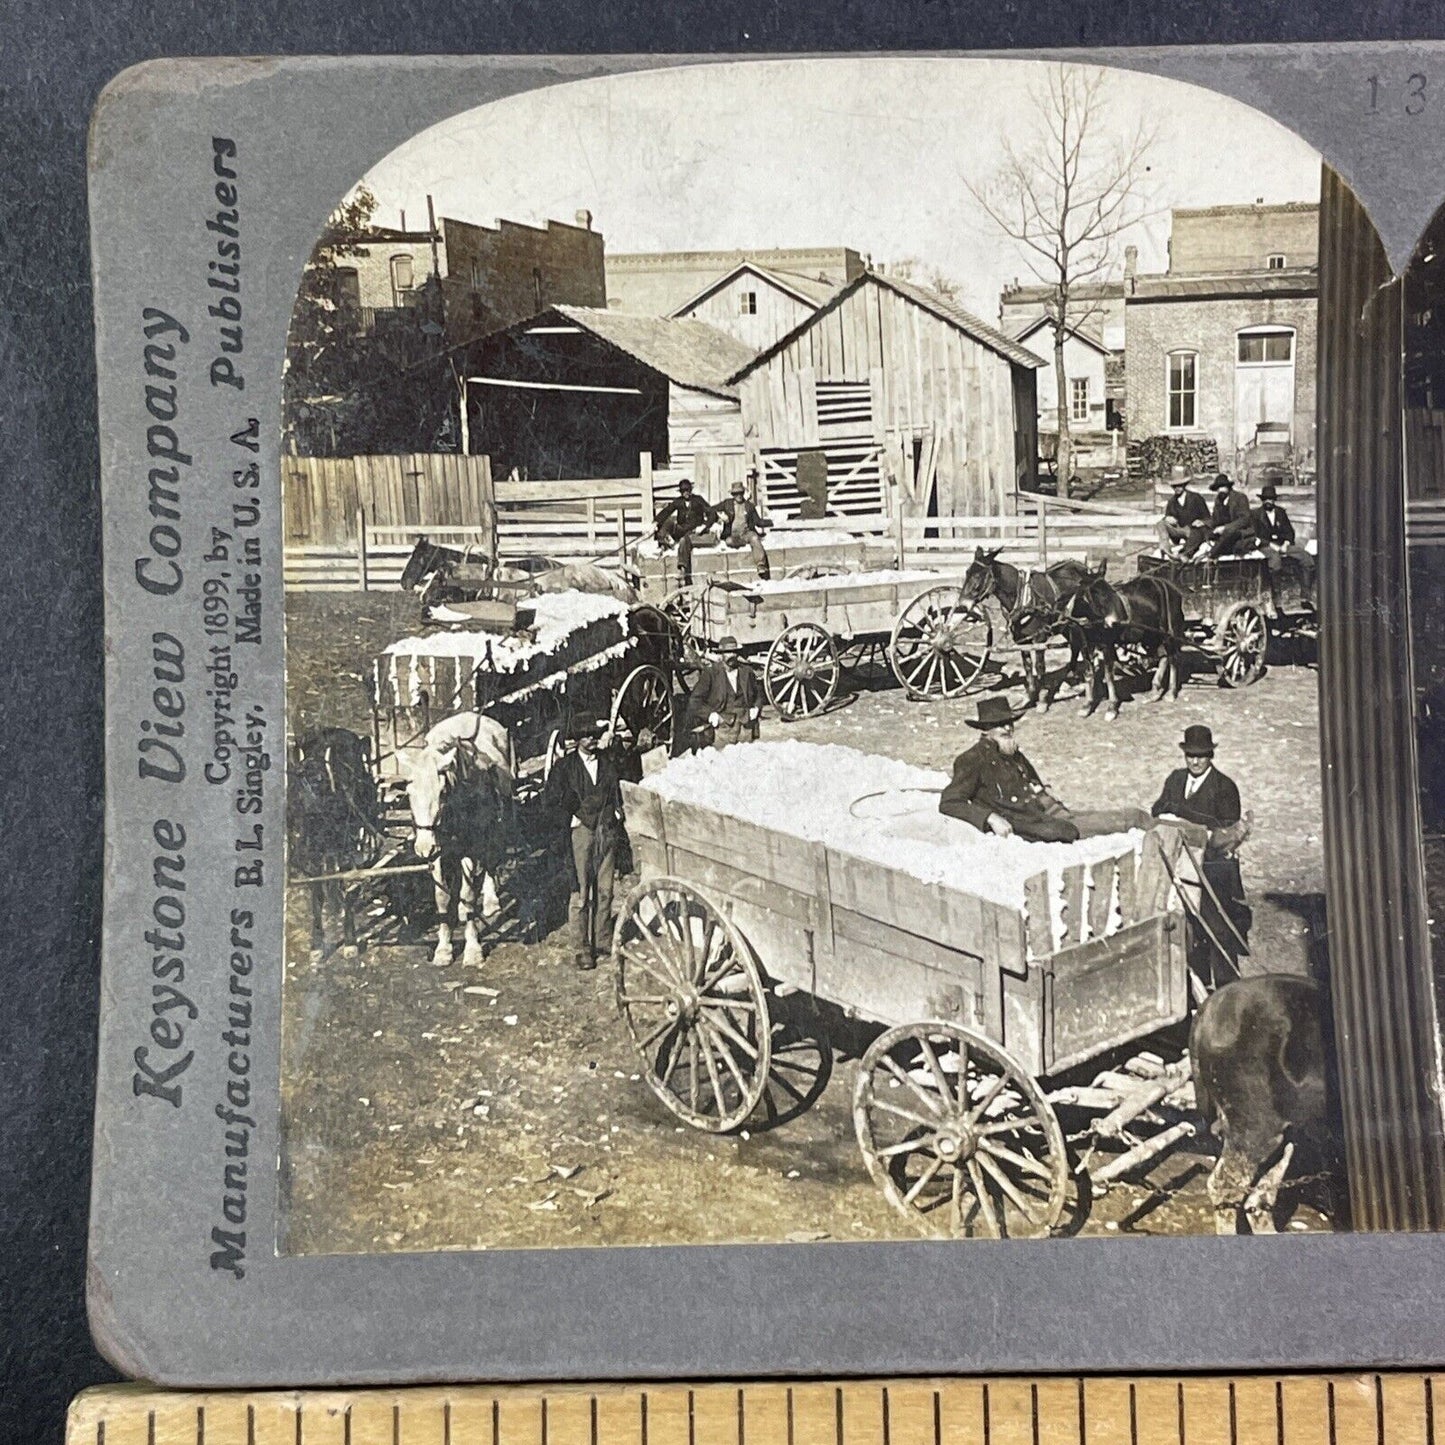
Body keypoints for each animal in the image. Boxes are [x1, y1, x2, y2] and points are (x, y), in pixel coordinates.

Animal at [283, 734, 378, 959]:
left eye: (320, 782)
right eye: (299, 782)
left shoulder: (346, 843)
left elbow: (346, 881)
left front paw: (350, 941)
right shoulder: (313, 852)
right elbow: (317, 893)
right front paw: (316, 943)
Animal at [404, 713, 517, 971]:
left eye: (442, 792)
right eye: (409, 793)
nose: (423, 847)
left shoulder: (470, 850)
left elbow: (468, 897)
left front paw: (473, 950)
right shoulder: (438, 853)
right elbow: (442, 898)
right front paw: (443, 949)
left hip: (496, 826)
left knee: (491, 861)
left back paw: (491, 900)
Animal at [959, 546, 1092, 710]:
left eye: (978, 576)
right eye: (967, 573)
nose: (962, 605)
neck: (1024, 599)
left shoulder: (1039, 638)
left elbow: (1039, 666)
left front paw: (1042, 699)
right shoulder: (1022, 640)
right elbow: (1028, 667)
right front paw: (1030, 697)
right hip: (1065, 624)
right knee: (1075, 644)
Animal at [1063, 566, 1184, 719]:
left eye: (1108, 591)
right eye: (1096, 593)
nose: (1115, 622)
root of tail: (1169, 586)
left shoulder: (1107, 644)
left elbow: (1109, 676)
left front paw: (1112, 707)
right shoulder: (1086, 645)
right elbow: (1088, 673)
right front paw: (1087, 705)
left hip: (1169, 632)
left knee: (1173, 658)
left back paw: (1171, 693)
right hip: (1151, 635)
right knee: (1163, 656)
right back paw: (1155, 691)